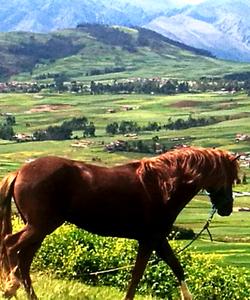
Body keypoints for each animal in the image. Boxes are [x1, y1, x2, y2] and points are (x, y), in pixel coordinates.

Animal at [0, 146, 238, 300]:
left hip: (40, 229)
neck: (161, 186)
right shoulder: (151, 239)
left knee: (24, 262)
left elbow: (173, 268)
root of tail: (18, 172)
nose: (227, 208)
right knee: (10, 245)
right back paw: (10, 286)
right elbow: (140, 275)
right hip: (40, 226)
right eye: (229, 177)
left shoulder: (156, 240)